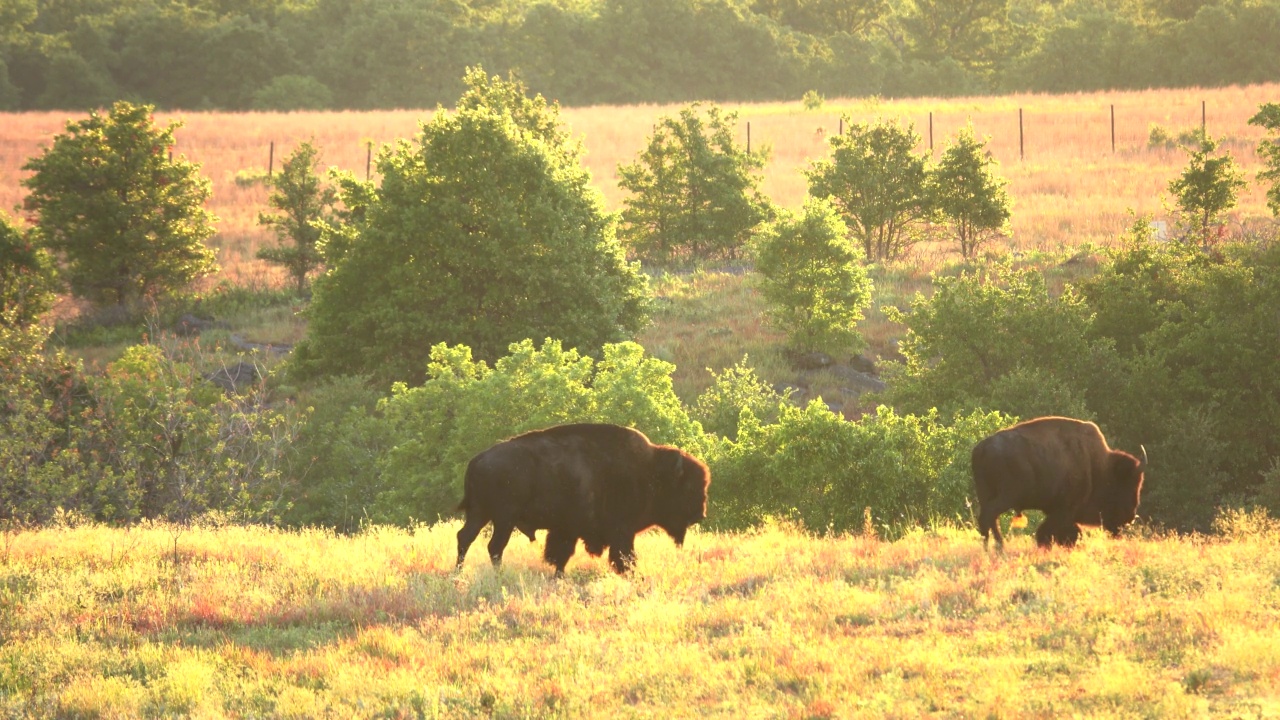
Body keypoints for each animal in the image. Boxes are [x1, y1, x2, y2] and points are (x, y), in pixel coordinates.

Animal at [455, 422, 711, 573]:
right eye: (688, 488)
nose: (700, 514)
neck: (649, 471)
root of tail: (476, 460)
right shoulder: (621, 531)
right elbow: (624, 557)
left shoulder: (566, 530)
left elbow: (561, 555)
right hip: (503, 518)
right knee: (495, 546)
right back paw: (495, 575)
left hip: (480, 514)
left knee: (465, 538)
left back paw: (458, 573)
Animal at [967, 412, 1152, 545]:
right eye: (1128, 484)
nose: (1130, 516)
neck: (1097, 466)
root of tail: (980, 449)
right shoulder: (1064, 509)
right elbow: (1053, 531)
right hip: (1007, 496)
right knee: (988, 517)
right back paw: (999, 548)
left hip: (986, 494)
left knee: (988, 519)